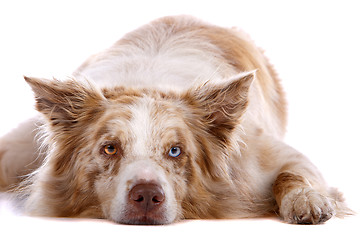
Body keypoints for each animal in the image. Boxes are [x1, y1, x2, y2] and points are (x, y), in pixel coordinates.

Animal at [0, 15, 350, 224]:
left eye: (175, 151)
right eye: (110, 148)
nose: (146, 196)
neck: (147, 83)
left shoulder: (271, 156)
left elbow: (290, 173)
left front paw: (307, 201)